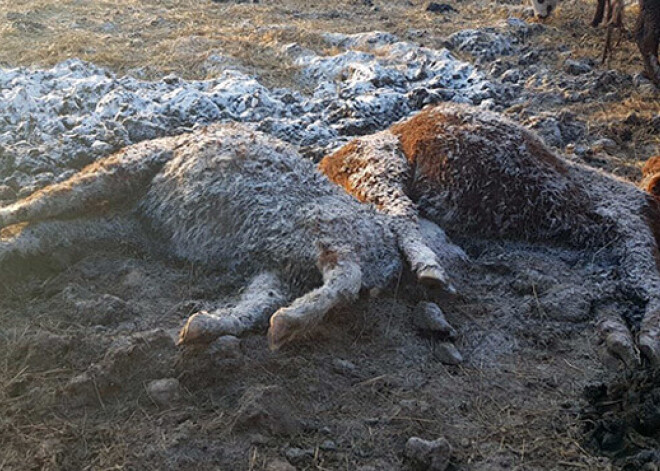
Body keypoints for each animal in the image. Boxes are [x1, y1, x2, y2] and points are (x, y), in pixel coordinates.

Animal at [320, 104, 660, 368]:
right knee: (401, 215)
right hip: (378, 169)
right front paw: (647, 342)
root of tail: (327, 162)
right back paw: (433, 272)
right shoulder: (632, 231)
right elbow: (650, 284)